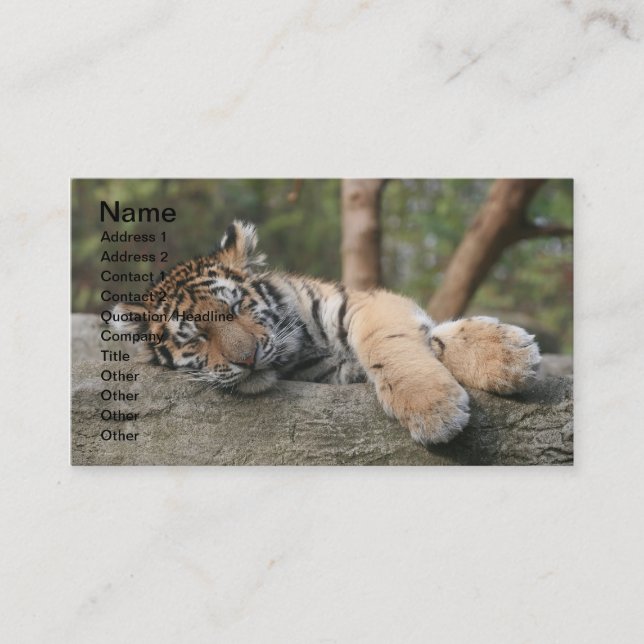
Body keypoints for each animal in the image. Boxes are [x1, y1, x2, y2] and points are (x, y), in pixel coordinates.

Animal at [113, 220, 541, 445]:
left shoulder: (366, 303)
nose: (247, 358)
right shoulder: (335, 373)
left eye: (235, 308)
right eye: (195, 336)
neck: (298, 350)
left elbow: (395, 341)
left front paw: (504, 357)